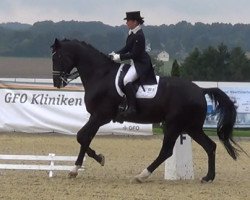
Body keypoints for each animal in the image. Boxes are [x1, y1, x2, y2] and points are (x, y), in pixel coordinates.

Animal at [51, 38, 244, 183]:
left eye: (58, 56)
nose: (57, 83)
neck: (101, 75)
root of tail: (200, 90)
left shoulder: (100, 116)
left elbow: (83, 137)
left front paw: (76, 168)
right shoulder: (96, 117)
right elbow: (83, 137)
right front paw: (97, 158)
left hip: (174, 125)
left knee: (167, 151)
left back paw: (142, 175)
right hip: (191, 127)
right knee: (210, 146)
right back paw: (208, 177)